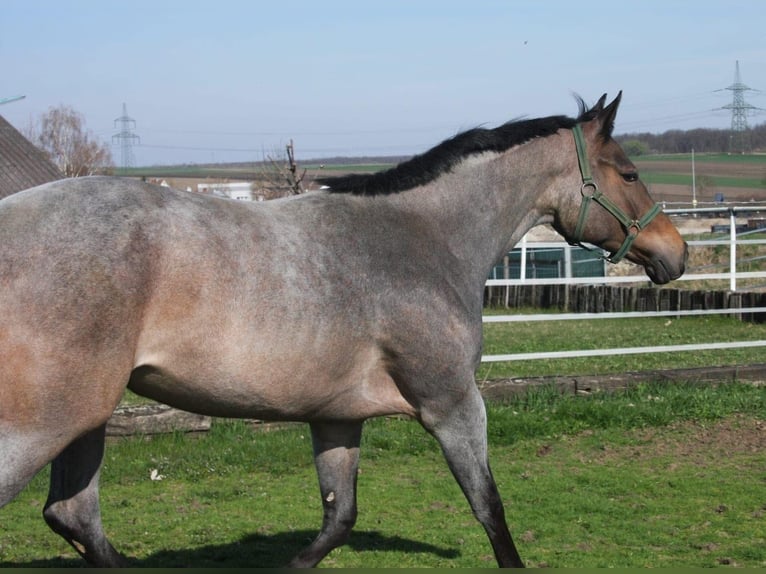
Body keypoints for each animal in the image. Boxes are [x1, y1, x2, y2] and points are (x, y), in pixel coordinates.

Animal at [0, 93, 688, 568]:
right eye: (629, 173)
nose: (675, 253)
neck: (426, 240)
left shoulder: (336, 417)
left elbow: (339, 518)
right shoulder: (453, 404)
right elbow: (489, 508)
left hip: (85, 418)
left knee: (73, 516)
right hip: (46, 423)